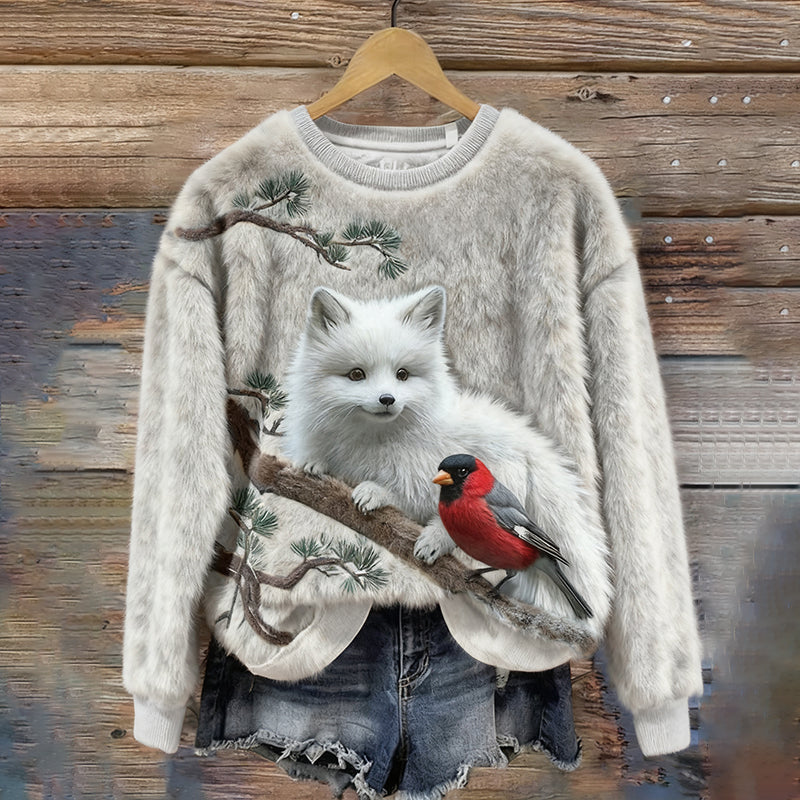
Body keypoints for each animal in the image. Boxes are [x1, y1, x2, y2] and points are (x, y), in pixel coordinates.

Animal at [280, 284, 604, 616]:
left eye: (402, 374)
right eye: (356, 374)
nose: (387, 399)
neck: (374, 438)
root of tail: (531, 443)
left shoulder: (424, 479)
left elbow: (403, 496)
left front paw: (373, 493)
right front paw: (313, 464)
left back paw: (433, 541)